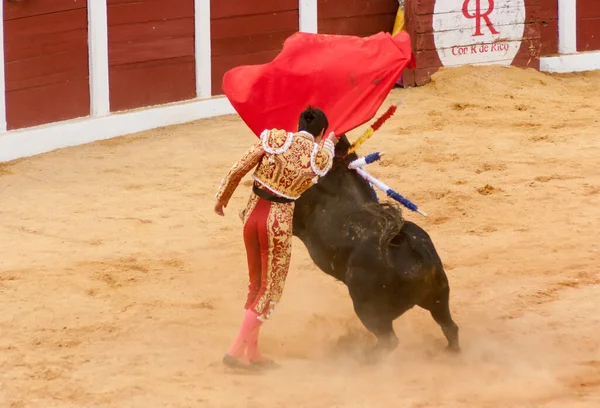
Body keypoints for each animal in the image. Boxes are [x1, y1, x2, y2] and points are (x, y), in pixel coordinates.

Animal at [292, 135, 460, 356]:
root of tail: (416, 256)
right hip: (439, 299)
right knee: (449, 326)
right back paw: (451, 352)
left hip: (368, 308)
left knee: (388, 340)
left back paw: (361, 355)